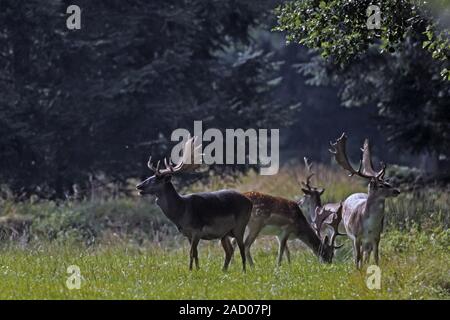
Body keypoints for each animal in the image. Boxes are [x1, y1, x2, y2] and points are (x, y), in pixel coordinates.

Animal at [135, 136, 251, 272]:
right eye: (150, 177)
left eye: (155, 180)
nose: (139, 186)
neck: (181, 212)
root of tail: (250, 202)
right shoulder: (188, 234)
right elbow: (195, 253)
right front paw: (197, 269)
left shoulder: (197, 230)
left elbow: (191, 252)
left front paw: (190, 270)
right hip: (225, 233)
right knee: (229, 250)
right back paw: (224, 270)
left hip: (240, 225)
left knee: (242, 248)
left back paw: (243, 271)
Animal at [326, 134, 400, 268]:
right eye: (381, 185)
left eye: (388, 182)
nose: (397, 191)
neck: (369, 226)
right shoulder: (356, 236)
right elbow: (357, 257)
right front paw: (358, 271)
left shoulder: (377, 236)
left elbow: (376, 257)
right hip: (350, 234)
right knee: (357, 254)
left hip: (367, 241)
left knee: (366, 253)